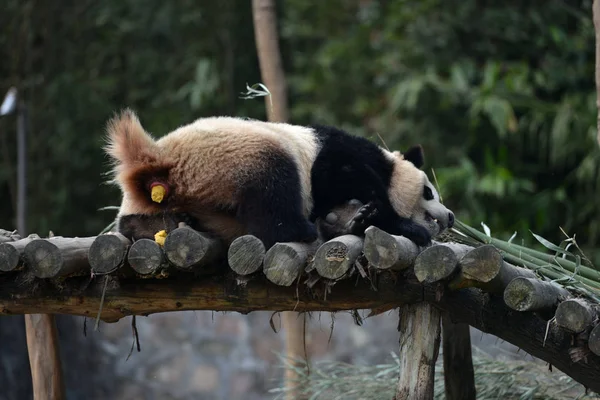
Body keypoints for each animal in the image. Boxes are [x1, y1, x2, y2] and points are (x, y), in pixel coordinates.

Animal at [106, 108, 454, 248]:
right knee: (274, 190)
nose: (450, 216)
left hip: (149, 201)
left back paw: (156, 226)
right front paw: (402, 225)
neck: (387, 163)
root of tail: (155, 160)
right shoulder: (338, 154)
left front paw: (352, 219)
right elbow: (342, 176)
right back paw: (301, 230)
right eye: (428, 192)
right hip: (233, 155)